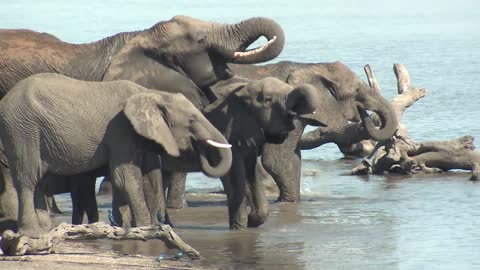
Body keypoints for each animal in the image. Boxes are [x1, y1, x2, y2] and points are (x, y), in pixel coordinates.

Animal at [0, 73, 232, 236]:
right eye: (192, 121)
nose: (201, 148)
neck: (152, 93)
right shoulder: (120, 129)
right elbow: (126, 177)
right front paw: (144, 228)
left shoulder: (140, 133)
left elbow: (149, 177)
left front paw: (132, 227)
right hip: (22, 129)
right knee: (28, 179)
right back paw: (32, 233)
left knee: (41, 181)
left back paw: (46, 229)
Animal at [165, 61, 398, 207]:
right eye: (357, 91)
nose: (364, 113)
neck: (309, 67)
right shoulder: (284, 112)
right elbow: (277, 158)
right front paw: (287, 202)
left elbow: (292, 157)